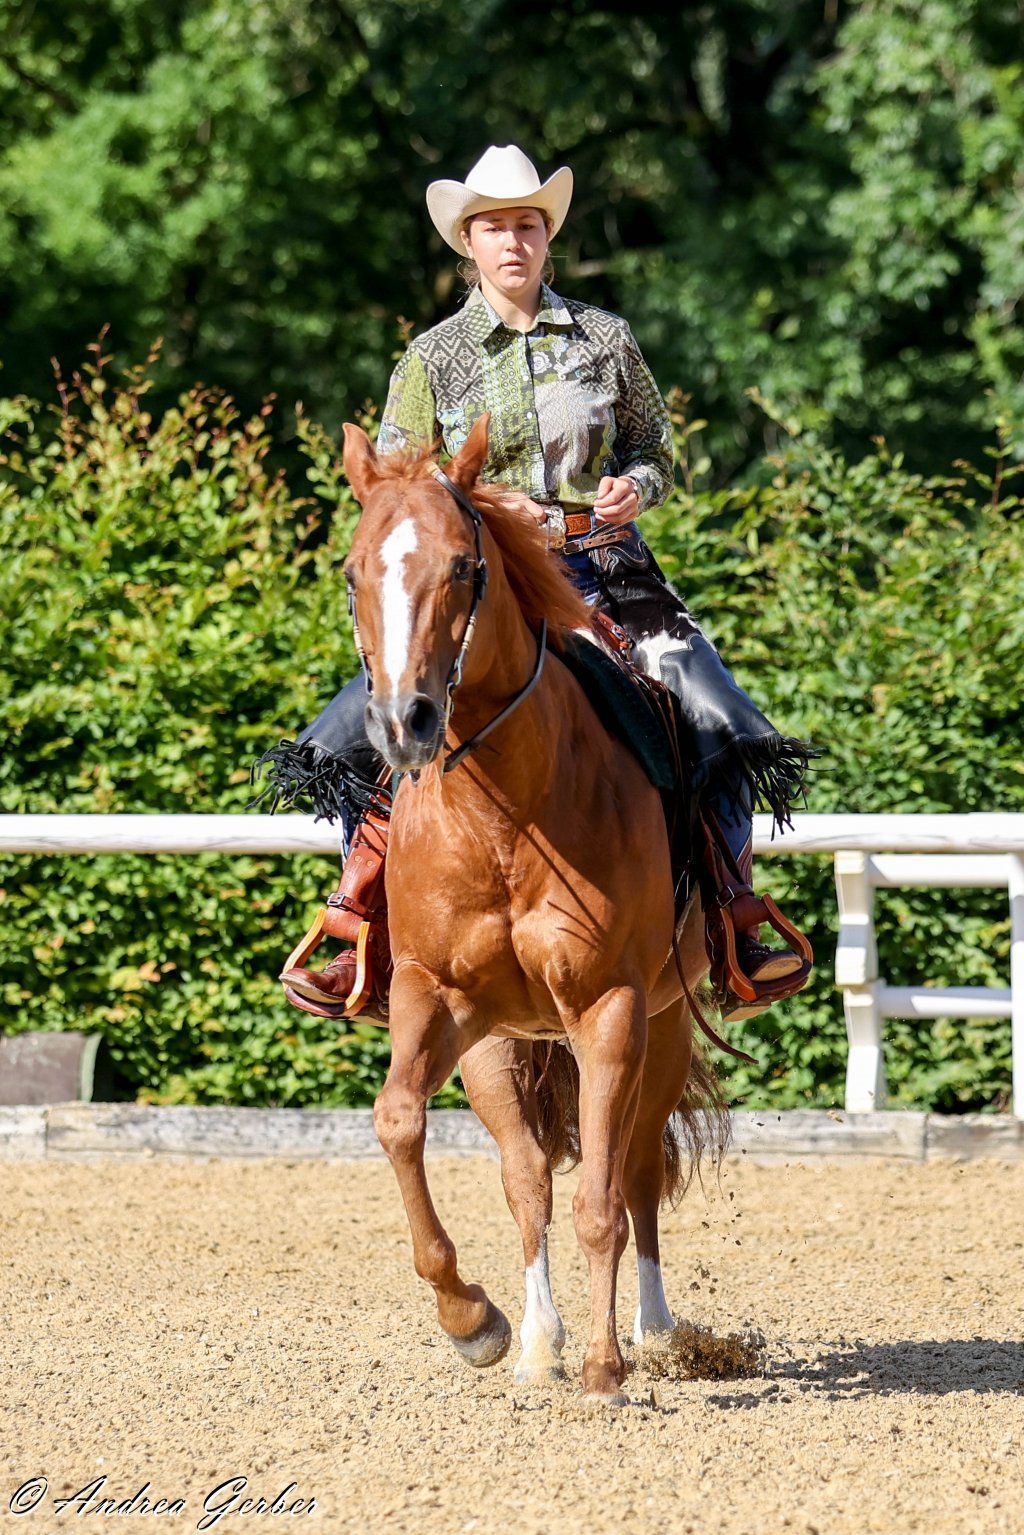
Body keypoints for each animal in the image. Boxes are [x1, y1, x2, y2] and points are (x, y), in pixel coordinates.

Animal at [340, 412, 729, 1406]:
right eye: (354, 571)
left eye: (463, 568)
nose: (405, 722)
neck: (508, 815)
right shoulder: (433, 995)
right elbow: (399, 1121)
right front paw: (473, 1320)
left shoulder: (610, 1008)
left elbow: (603, 1198)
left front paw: (605, 1367)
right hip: (499, 1044)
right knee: (527, 1180)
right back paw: (535, 1343)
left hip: (661, 1027)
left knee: (634, 1171)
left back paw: (651, 1332)